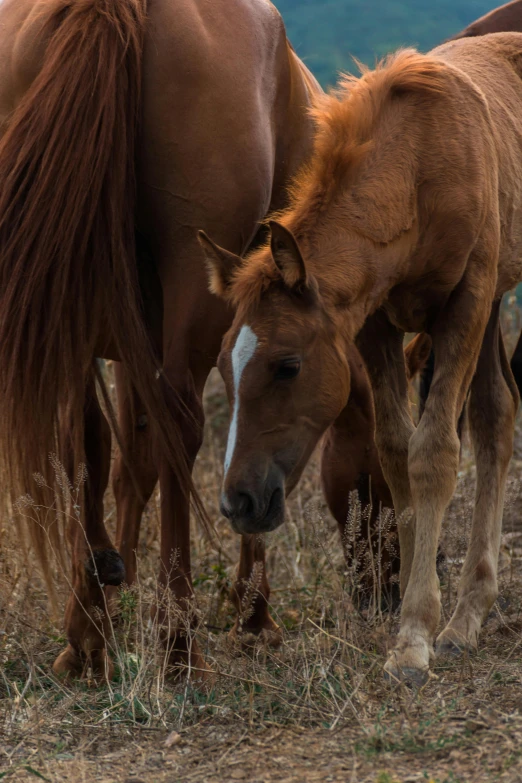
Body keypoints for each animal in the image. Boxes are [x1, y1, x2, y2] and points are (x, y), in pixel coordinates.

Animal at [200, 33, 522, 688]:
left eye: (288, 365)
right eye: (222, 365)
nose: (238, 502)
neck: (421, 165)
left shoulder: (466, 301)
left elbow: (434, 452)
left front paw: (415, 637)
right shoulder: (376, 319)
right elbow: (396, 449)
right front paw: (415, 619)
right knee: (497, 415)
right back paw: (469, 616)